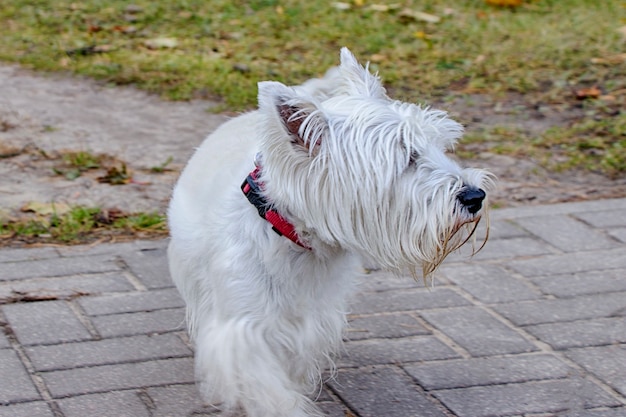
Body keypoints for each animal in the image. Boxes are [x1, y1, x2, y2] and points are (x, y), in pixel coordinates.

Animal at [169, 47, 492, 414]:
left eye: (440, 146)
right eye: (407, 158)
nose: (476, 196)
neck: (293, 236)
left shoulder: (314, 318)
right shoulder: (244, 328)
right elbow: (269, 389)